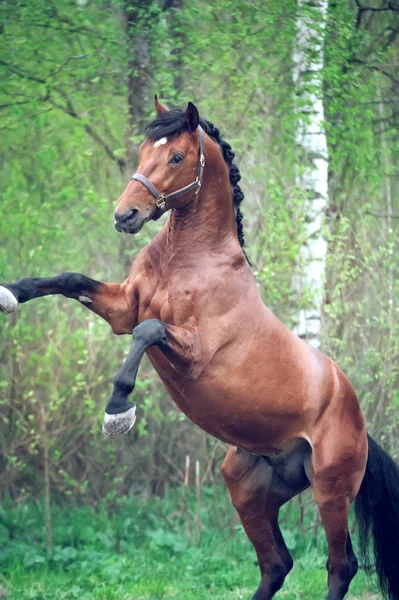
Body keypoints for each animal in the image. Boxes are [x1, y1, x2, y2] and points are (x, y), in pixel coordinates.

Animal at [0, 99, 399, 600]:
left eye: (176, 157)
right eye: (144, 148)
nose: (125, 215)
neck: (187, 259)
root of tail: (357, 417)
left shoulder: (192, 350)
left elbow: (148, 330)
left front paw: (118, 410)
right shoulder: (122, 308)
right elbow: (71, 280)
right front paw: (10, 293)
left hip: (331, 488)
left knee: (340, 565)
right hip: (248, 486)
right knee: (276, 563)